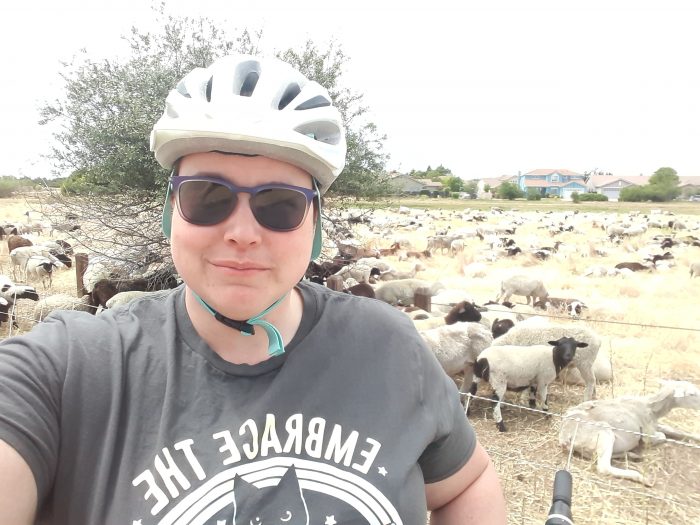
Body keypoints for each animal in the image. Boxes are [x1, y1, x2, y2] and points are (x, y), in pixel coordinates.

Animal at [556, 378, 700, 486]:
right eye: (692, 394)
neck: (652, 408)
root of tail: (564, 437)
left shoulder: (654, 425)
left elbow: (675, 430)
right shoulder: (648, 435)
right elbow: (663, 436)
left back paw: (633, 456)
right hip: (604, 432)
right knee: (603, 467)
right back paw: (642, 478)